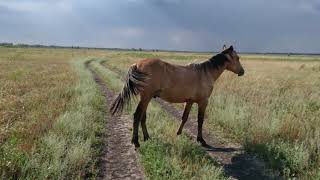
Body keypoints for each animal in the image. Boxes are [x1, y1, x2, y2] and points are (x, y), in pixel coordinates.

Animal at [110, 45, 245, 148]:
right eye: (237, 57)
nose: (242, 72)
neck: (205, 73)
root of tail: (137, 64)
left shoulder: (189, 101)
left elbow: (184, 117)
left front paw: (178, 133)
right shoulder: (203, 102)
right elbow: (200, 120)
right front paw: (201, 140)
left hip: (145, 98)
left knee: (143, 117)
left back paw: (147, 137)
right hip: (145, 97)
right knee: (137, 116)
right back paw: (136, 142)